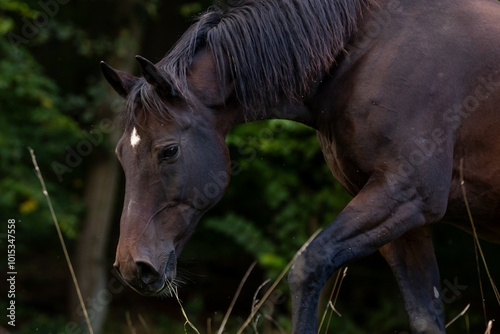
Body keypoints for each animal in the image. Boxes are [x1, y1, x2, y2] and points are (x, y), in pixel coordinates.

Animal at [100, 0, 500, 332]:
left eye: (168, 151)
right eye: (120, 154)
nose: (132, 267)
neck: (369, 50)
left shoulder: (409, 193)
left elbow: (308, 266)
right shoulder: (408, 224)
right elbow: (425, 317)